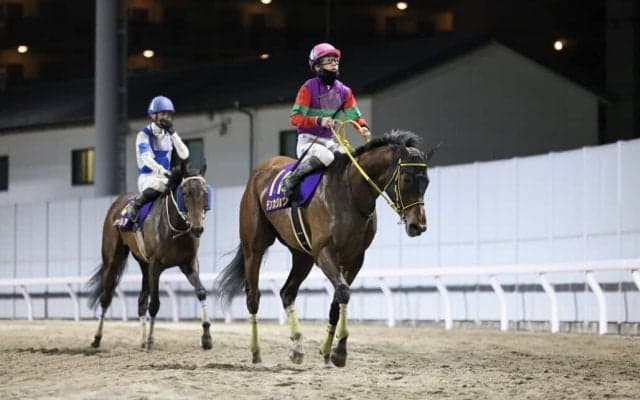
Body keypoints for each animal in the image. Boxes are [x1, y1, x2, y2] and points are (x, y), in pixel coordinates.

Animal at [87, 162, 213, 351]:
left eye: (205, 193)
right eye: (185, 193)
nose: (197, 228)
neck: (175, 228)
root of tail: (117, 203)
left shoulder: (189, 263)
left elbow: (201, 292)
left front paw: (206, 336)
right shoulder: (156, 265)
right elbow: (154, 304)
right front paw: (152, 340)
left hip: (143, 264)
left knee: (141, 301)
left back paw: (142, 339)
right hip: (113, 258)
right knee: (106, 297)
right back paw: (97, 337)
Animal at [217, 129, 437, 367]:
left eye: (427, 182)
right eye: (406, 179)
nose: (418, 225)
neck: (351, 193)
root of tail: (259, 172)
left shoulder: (355, 258)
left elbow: (338, 299)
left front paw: (327, 349)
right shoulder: (324, 252)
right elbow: (342, 292)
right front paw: (339, 351)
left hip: (302, 256)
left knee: (287, 292)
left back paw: (296, 347)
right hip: (254, 246)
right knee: (253, 296)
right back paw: (256, 351)